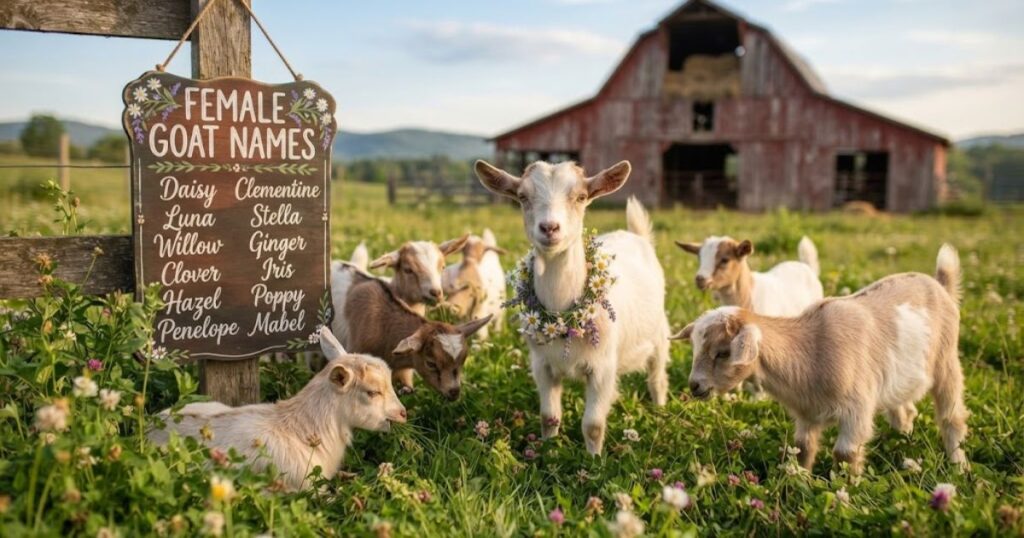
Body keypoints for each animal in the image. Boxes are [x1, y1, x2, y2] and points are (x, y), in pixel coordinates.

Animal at [475, 159, 671, 455]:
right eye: (522, 196)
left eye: (580, 197)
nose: (549, 228)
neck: (561, 314)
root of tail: (635, 235)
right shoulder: (542, 365)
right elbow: (549, 416)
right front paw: (548, 451)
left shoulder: (602, 369)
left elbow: (593, 425)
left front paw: (593, 460)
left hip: (659, 335)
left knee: (657, 378)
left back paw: (659, 412)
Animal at [673, 244, 968, 474]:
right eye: (695, 347)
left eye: (723, 352)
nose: (695, 386)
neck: (812, 350)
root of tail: (939, 284)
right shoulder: (807, 415)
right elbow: (802, 449)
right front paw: (800, 484)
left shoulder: (856, 411)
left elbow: (845, 455)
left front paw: (845, 497)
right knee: (904, 412)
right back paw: (902, 440)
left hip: (947, 362)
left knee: (951, 417)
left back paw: (958, 466)